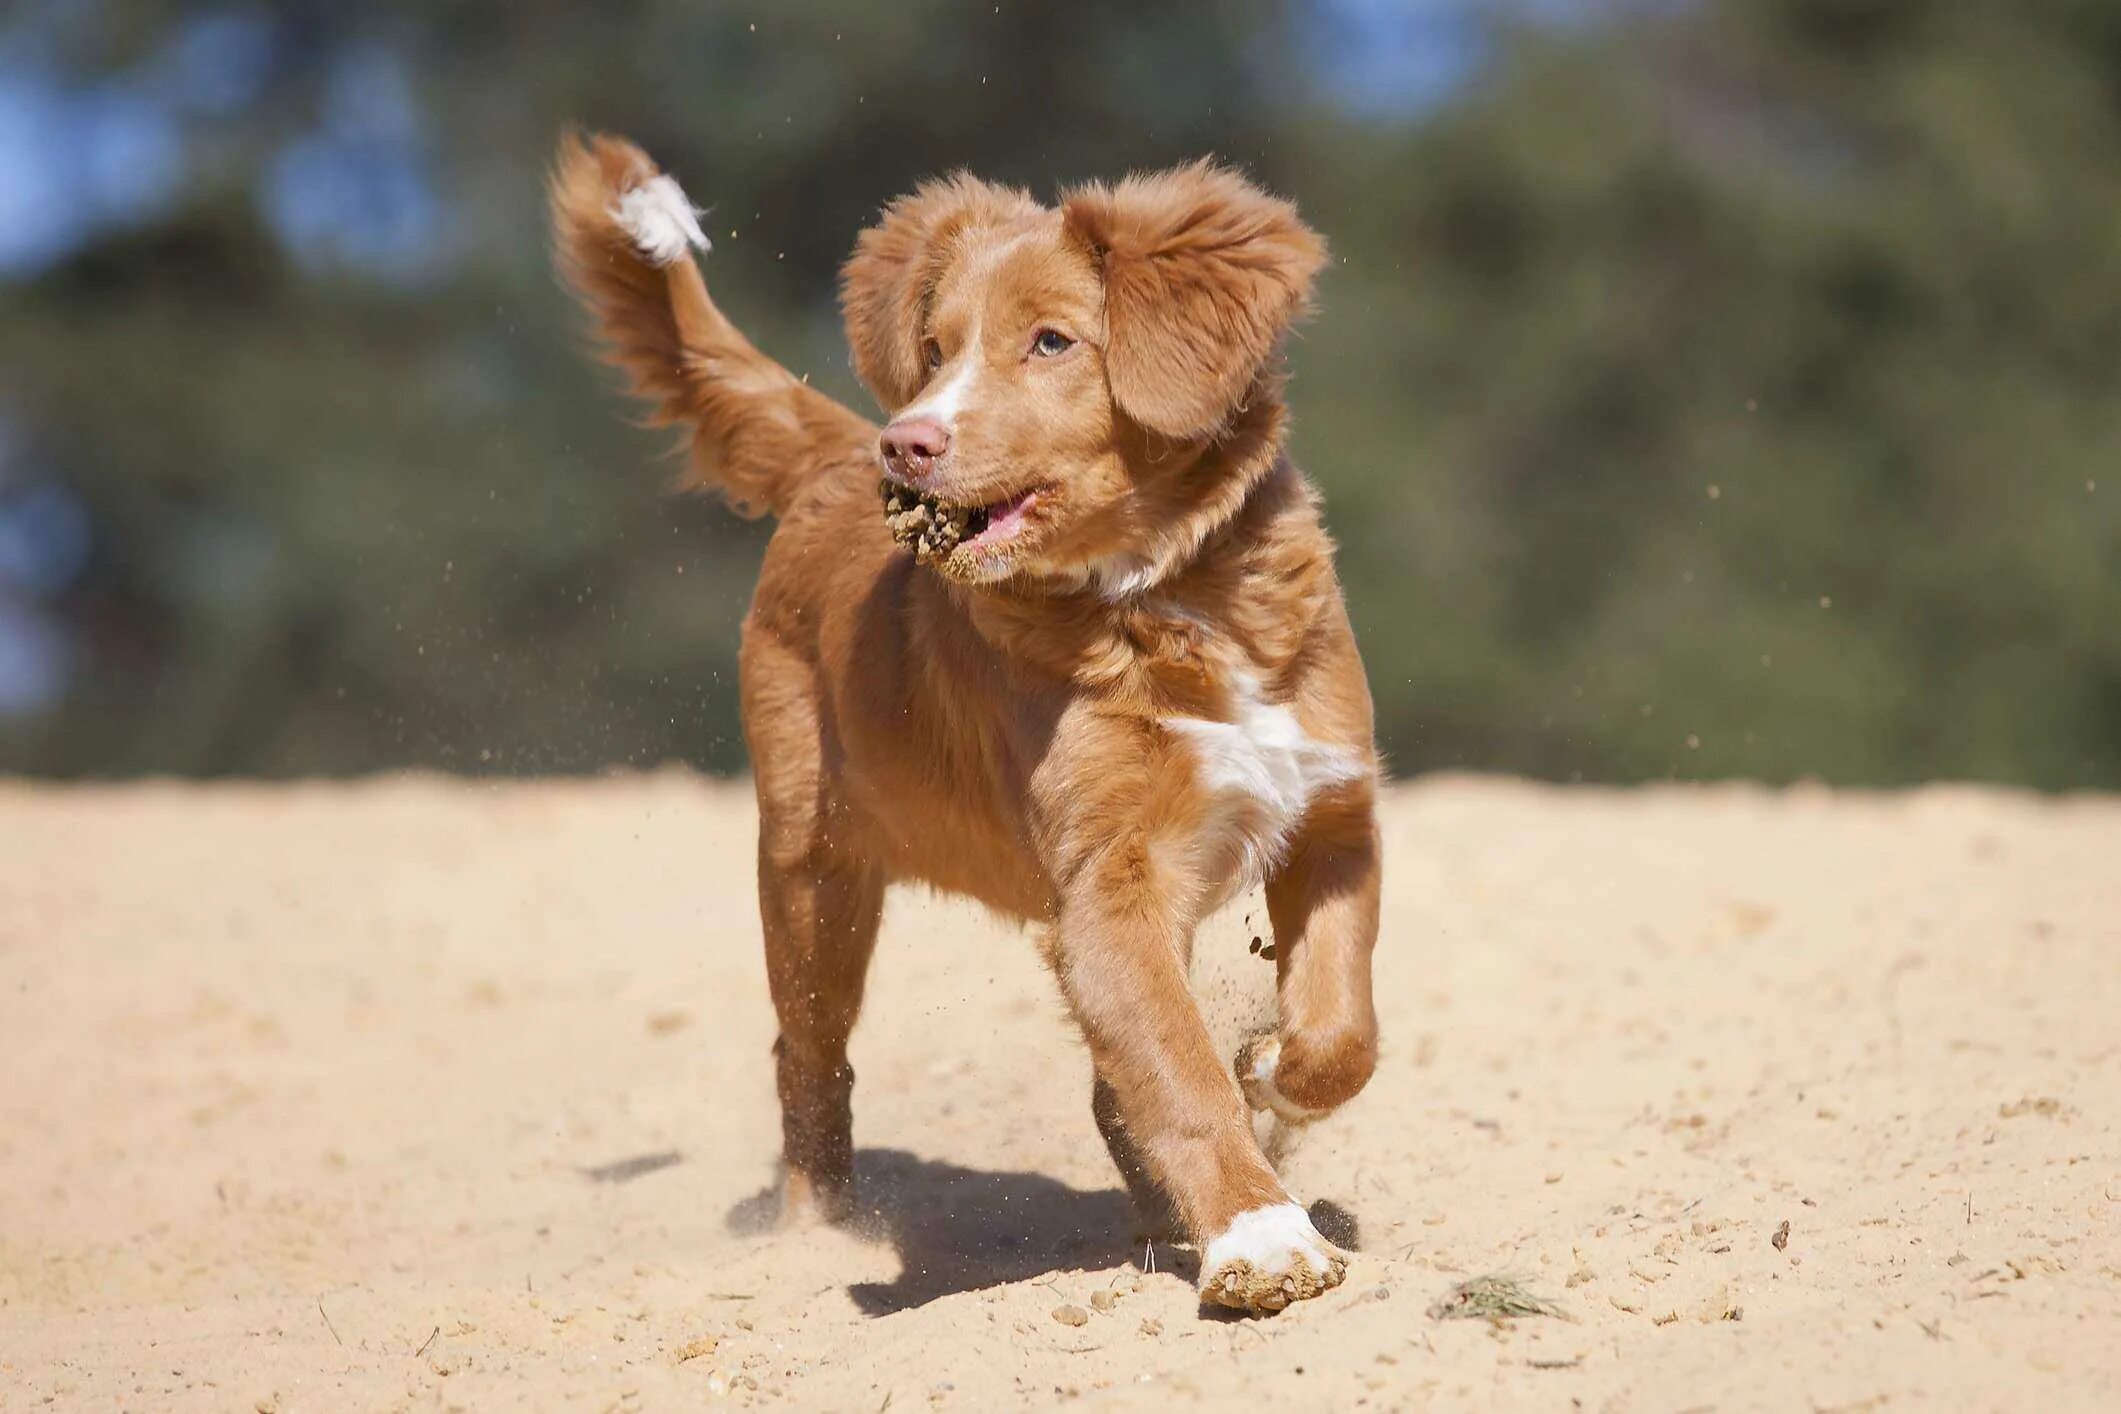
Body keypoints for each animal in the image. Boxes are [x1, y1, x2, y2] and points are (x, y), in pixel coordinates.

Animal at [547, 135, 1382, 1314]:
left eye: (1052, 341)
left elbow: (1342, 1029)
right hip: (811, 867)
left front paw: (1272, 1072)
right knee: (807, 1055)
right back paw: (818, 1232)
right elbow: (1176, 1064)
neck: (1165, 600)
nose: (909, 444)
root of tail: (838, 454)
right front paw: (1260, 1236)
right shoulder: (1106, 884)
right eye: (936, 348)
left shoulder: (1332, 812)